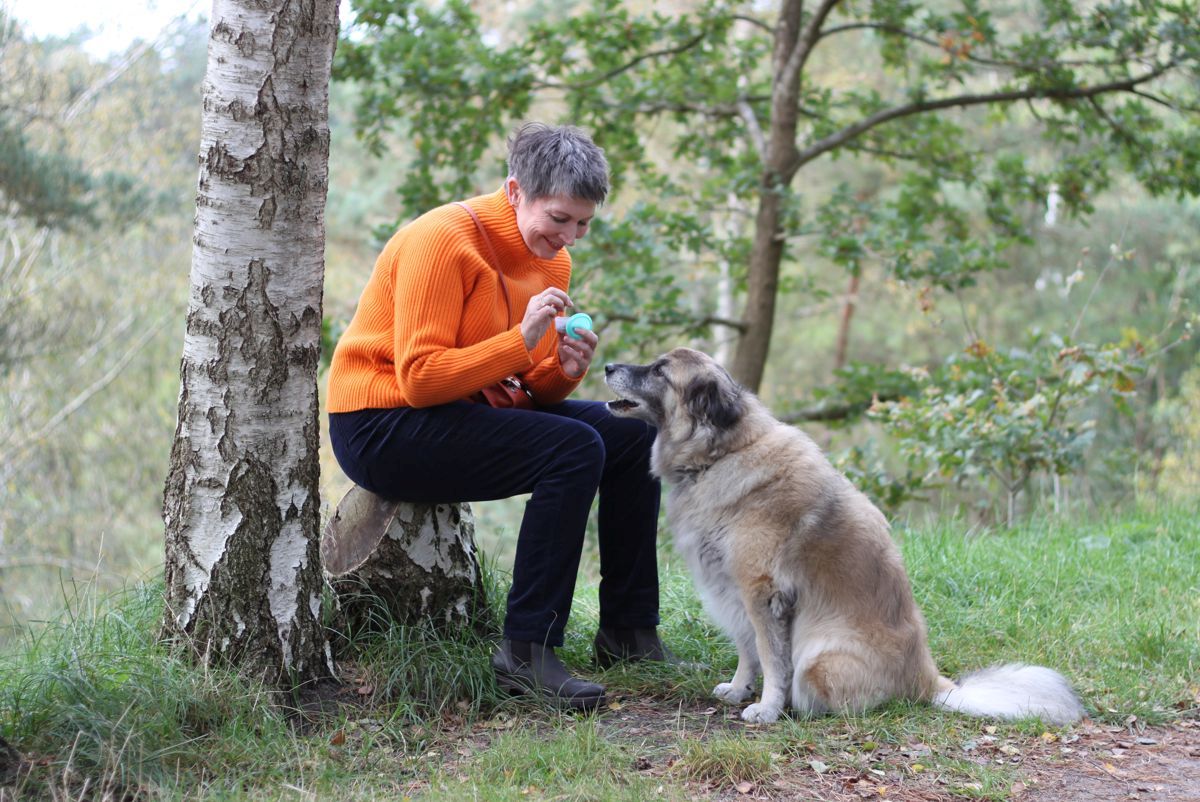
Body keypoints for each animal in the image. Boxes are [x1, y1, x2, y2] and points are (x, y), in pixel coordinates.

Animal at [604, 348, 1084, 725]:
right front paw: (740, 689)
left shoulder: (763, 594)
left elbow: (771, 659)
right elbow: (747, 649)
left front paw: (767, 708)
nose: (607, 365)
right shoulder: (733, 591)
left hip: (817, 659)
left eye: (659, 370)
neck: (721, 454)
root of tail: (931, 683)